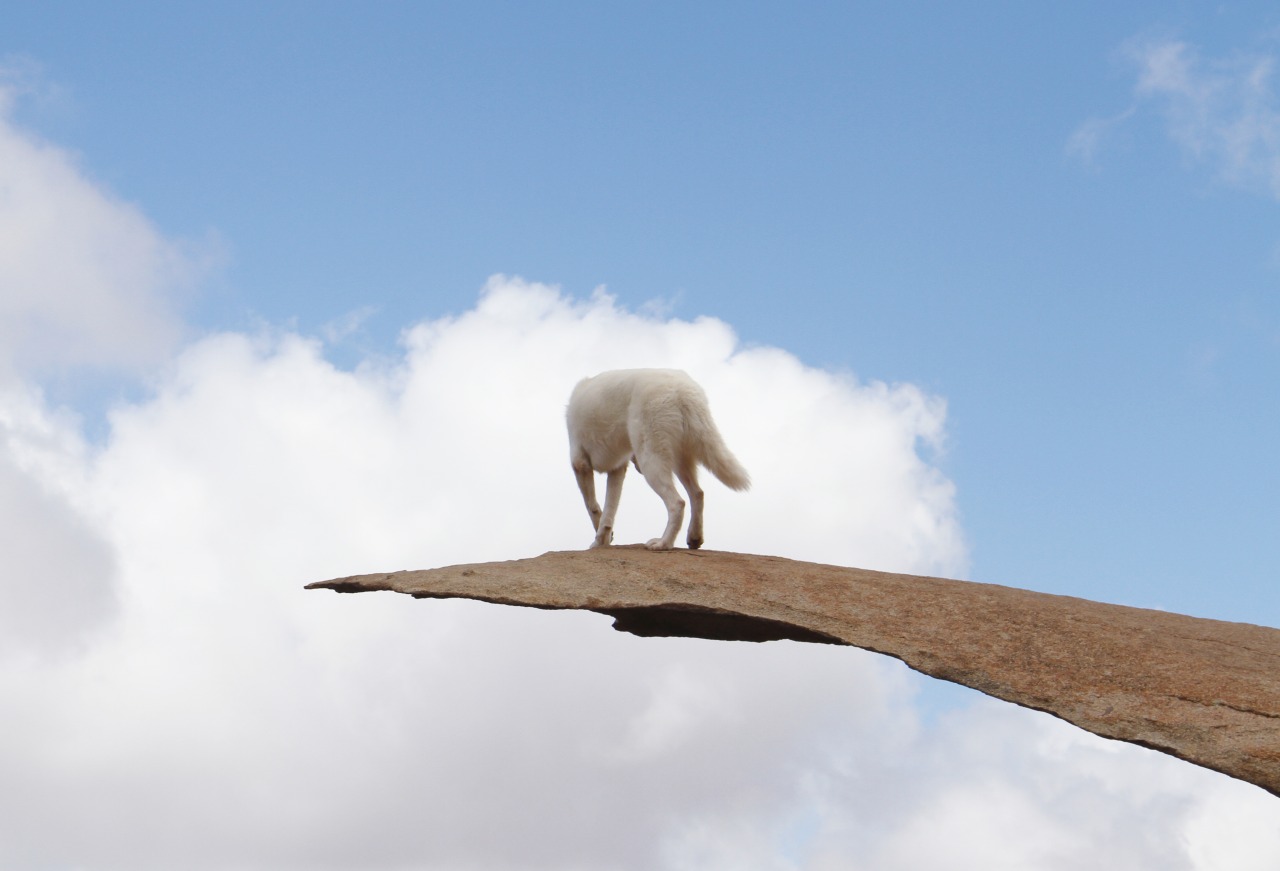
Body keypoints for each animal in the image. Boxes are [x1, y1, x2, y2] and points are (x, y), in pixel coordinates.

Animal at [566, 368, 750, 551]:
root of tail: (684, 389)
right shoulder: (617, 470)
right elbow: (608, 512)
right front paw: (603, 540)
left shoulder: (580, 464)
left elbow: (593, 506)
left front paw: (598, 542)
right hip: (680, 462)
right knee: (697, 494)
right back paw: (694, 538)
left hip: (652, 462)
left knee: (678, 503)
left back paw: (663, 543)